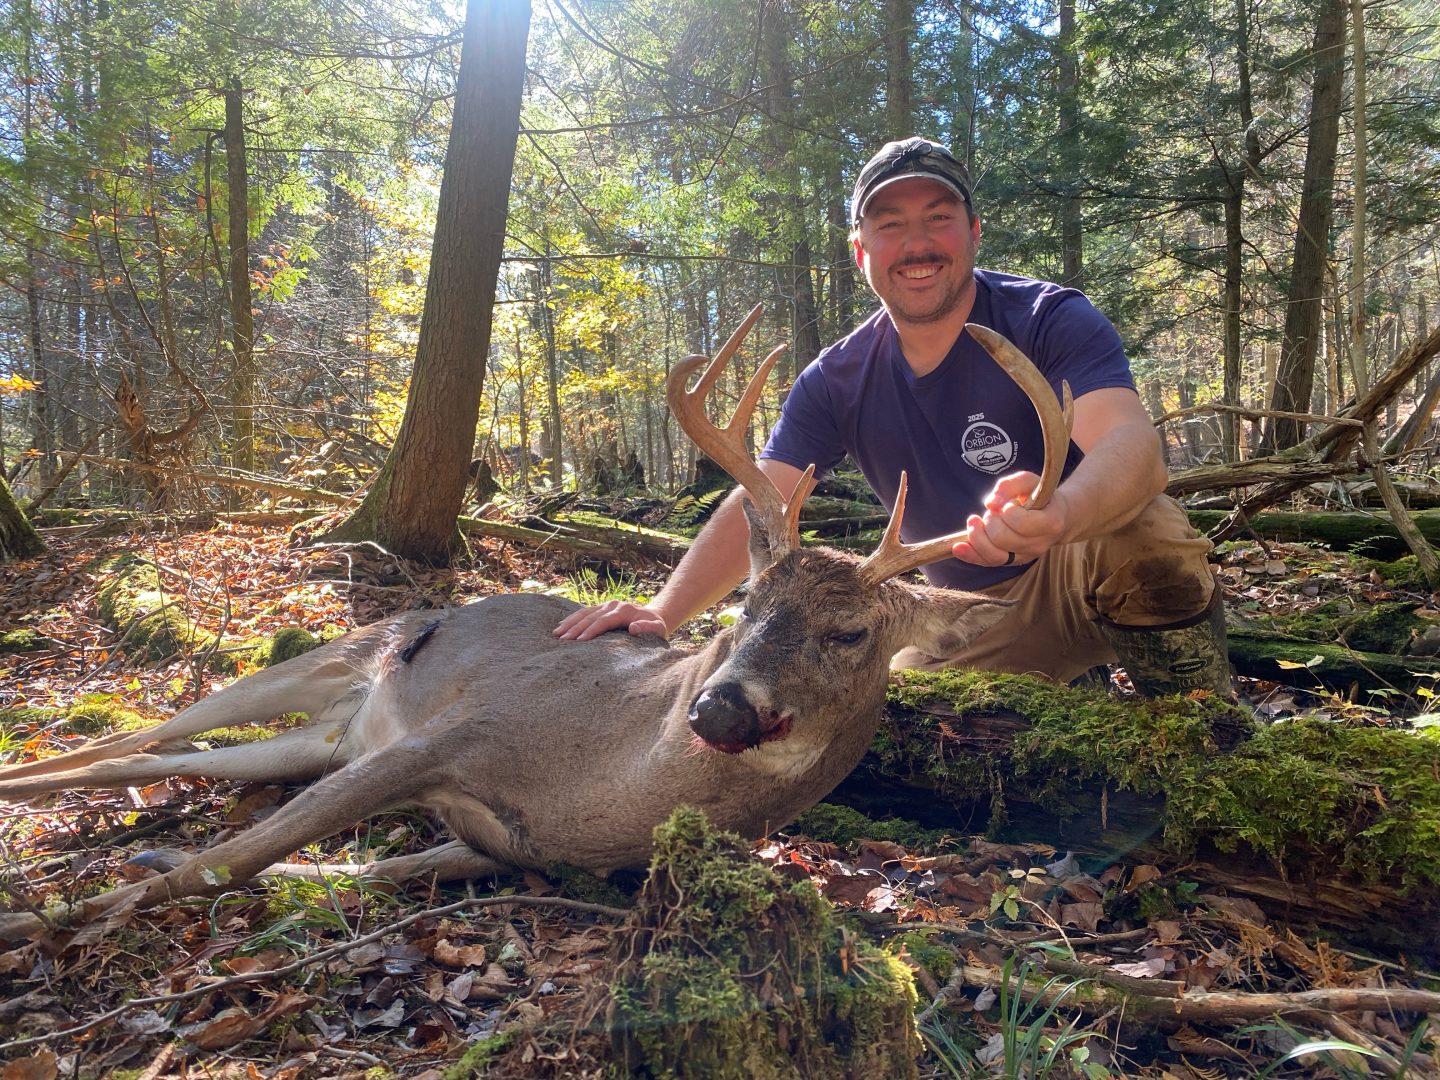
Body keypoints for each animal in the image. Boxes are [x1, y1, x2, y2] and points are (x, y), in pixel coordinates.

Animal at [0, 307, 1070, 942]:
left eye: (850, 634)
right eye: (743, 608)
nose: (719, 710)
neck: (608, 783)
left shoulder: (499, 846)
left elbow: (324, 867)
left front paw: (154, 864)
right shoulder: (454, 733)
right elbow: (225, 862)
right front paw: (52, 921)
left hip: (316, 739)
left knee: (140, 758)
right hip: (327, 662)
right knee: (134, 736)